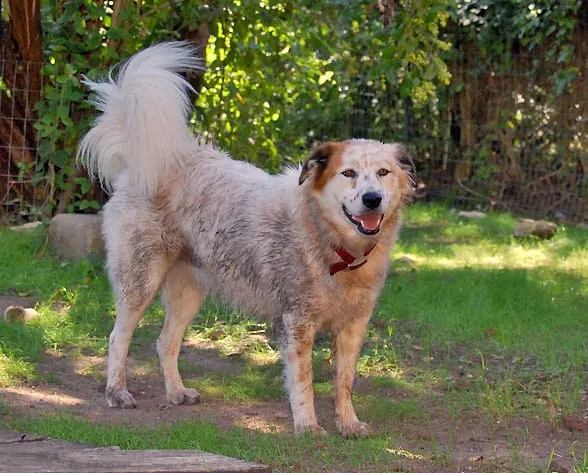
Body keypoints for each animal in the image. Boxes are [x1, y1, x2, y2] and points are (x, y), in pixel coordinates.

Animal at [76, 42, 412, 436]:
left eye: (383, 172)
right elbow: (304, 382)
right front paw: (308, 427)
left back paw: (176, 392)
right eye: (348, 173)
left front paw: (349, 424)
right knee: (119, 338)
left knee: (165, 342)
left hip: (188, 292)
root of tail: (150, 165)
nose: (372, 199)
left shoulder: (353, 327)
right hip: (139, 281)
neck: (329, 242)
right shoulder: (298, 324)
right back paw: (117, 393)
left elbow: (344, 382)